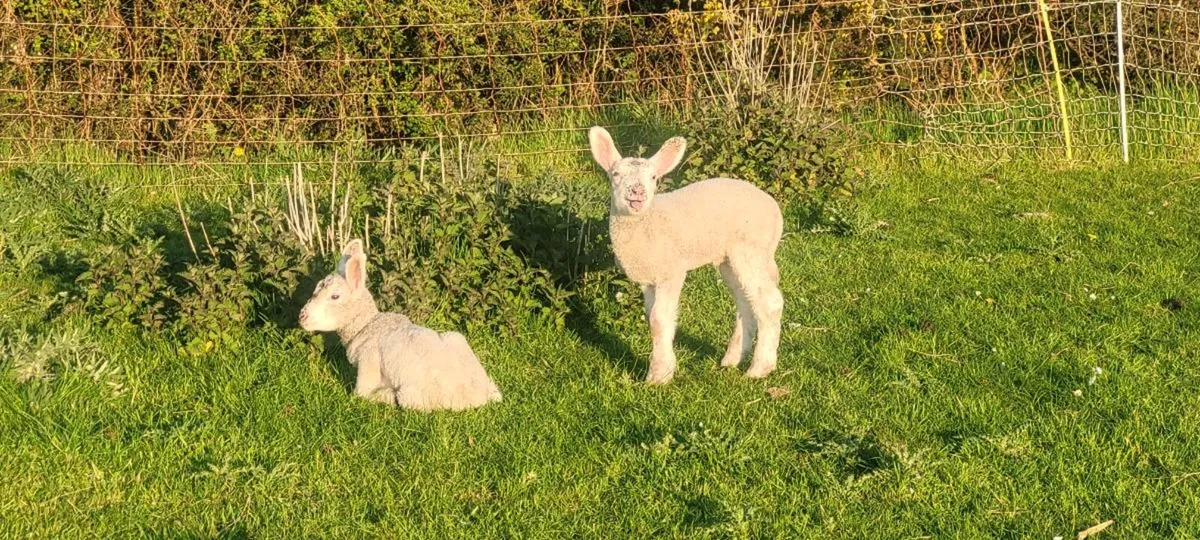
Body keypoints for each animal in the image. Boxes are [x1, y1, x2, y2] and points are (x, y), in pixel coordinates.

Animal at [298, 239, 502, 411]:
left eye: (335, 296)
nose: (302, 316)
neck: (367, 326)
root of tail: (484, 393)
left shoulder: (368, 359)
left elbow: (361, 394)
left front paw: (383, 394)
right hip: (456, 338)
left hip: (414, 396)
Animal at [588, 126, 784, 384]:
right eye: (616, 174)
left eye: (653, 178)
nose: (637, 192)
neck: (647, 223)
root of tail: (775, 211)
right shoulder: (649, 279)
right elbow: (652, 317)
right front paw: (664, 367)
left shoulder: (671, 271)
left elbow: (659, 319)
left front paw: (658, 376)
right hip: (730, 258)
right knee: (746, 302)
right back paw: (732, 359)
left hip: (751, 249)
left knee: (770, 302)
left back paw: (760, 369)